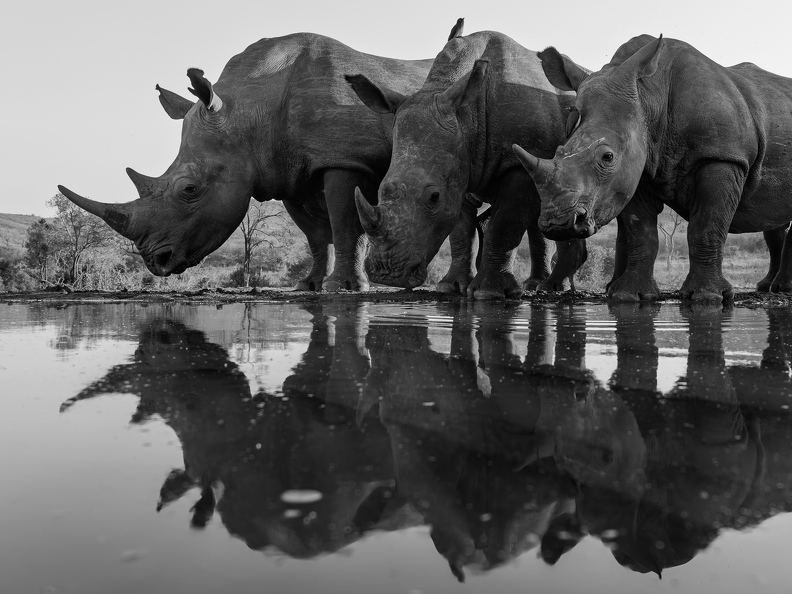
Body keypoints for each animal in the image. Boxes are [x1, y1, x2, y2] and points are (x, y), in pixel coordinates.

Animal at [57, 33, 455, 292]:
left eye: (189, 189)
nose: (157, 262)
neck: (248, 110)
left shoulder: (345, 158)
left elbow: (345, 224)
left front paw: (343, 288)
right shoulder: (289, 173)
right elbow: (315, 235)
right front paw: (307, 286)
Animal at [346, 31, 588, 299]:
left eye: (434, 197)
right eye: (381, 191)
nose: (387, 274)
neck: (468, 117)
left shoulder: (519, 163)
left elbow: (504, 225)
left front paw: (488, 293)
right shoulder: (462, 165)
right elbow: (460, 231)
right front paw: (450, 287)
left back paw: (549, 288)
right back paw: (538, 285)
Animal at [513, 34, 792, 302]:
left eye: (607, 157)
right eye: (558, 152)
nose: (557, 224)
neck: (649, 98)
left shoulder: (721, 156)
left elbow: (706, 227)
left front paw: (707, 297)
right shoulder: (636, 170)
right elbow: (641, 233)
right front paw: (630, 295)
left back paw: (778, 289)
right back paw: (773, 288)